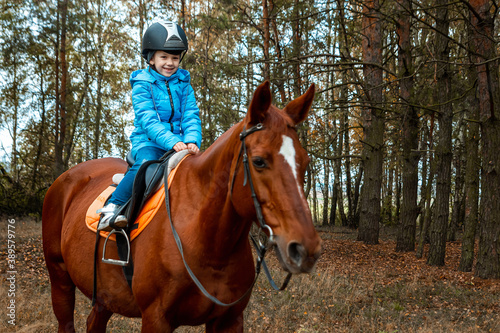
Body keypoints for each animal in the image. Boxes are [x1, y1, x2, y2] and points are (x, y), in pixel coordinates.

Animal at [44, 81, 324, 332]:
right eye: (259, 161)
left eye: (306, 161)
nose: (305, 248)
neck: (208, 239)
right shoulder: (156, 319)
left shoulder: (230, 320)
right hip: (59, 278)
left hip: (105, 296)